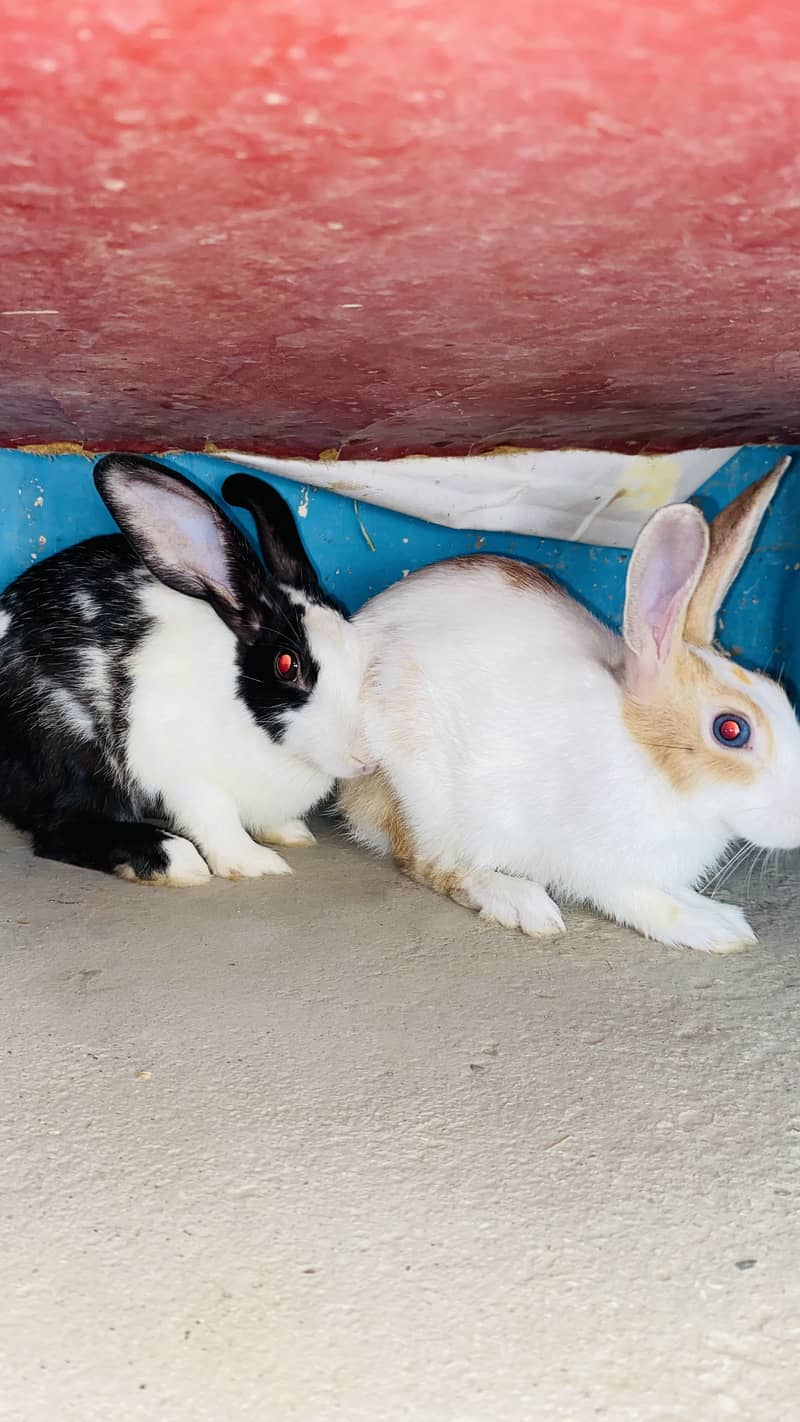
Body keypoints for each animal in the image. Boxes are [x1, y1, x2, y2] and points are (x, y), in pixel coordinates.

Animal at [0, 454, 370, 885]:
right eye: (286, 665)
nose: (365, 759)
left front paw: (291, 833)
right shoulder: (186, 777)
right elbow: (217, 819)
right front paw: (256, 864)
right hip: (70, 741)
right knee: (59, 829)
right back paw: (173, 859)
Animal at [339, 456, 799, 953]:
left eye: (781, 696)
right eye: (731, 730)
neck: (652, 764)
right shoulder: (602, 867)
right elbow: (643, 901)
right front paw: (716, 929)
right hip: (422, 794)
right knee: (427, 863)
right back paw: (521, 903)